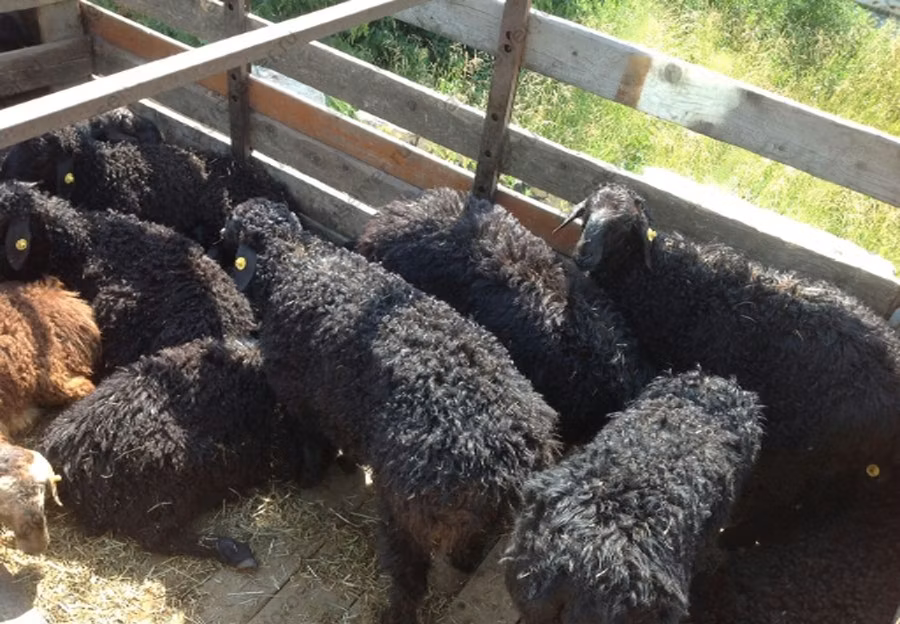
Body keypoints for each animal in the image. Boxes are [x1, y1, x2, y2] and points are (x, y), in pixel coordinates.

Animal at [213, 197, 562, 623]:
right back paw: (463, 563)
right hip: (488, 521)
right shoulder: (338, 402)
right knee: (471, 547)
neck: (295, 263)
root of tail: (500, 460)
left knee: (409, 575)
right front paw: (346, 463)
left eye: (228, 230)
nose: (211, 245)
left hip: (406, 515)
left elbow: (312, 445)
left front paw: (309, 479)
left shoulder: (299, 398)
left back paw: (395, 612)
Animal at [554, 182, 900, 543]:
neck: (656, 278)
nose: (583, 254)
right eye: (587, 215)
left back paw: (740, 537)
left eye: (623, 229)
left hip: (816, 454)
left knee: (801, 502)